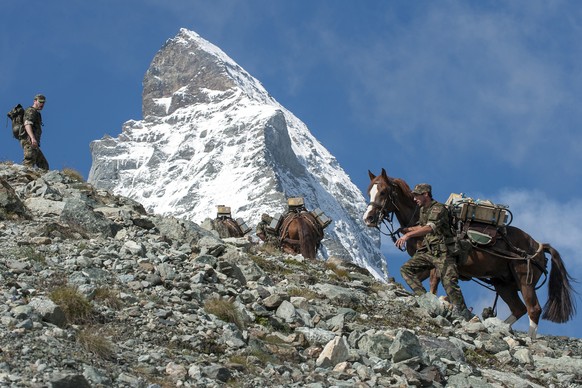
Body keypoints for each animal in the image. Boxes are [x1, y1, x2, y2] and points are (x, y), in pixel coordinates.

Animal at [362, 168, 576, 338]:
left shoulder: (438, 262)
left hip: (525, 280)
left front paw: (438, 302)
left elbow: (433, 284)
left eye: (383, 191)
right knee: (519, 308)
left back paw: (529, 340)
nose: (368, 218)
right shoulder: (422, 261)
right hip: (503, 283)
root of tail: (538, 246)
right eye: (369, 191)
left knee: (533, 309)